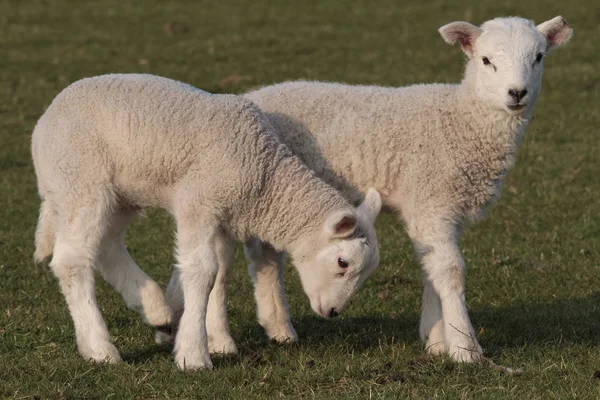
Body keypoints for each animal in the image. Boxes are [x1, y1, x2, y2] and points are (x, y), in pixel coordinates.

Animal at [31, 73, 380, 370]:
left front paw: (219, 341)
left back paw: (157, 311)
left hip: (120, 194)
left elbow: (221, 272)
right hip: (81, 179)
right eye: (343, 263)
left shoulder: (223, 217)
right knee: (72, 260)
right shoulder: (198, 202)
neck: (264, 178)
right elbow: (203, 271)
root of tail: (45, 121)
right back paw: (100, 348)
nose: (333, 312)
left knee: (106, 245)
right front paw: (194, 355)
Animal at [169, 14, 572, 362]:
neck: (464, 119)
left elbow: (431, 266)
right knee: (227, 262)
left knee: (264, 255)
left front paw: (435, 338)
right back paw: (221, 339)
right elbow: (450, 271)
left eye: (539, 57)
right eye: (486, 60)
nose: (517, 93)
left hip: (274, 195)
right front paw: (464, 349)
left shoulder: (435, 206)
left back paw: (275, 326)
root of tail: (251, 97)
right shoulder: (432, 200)